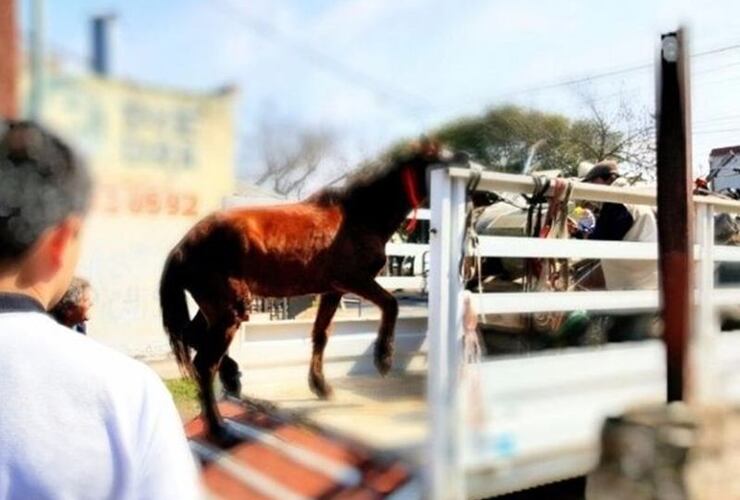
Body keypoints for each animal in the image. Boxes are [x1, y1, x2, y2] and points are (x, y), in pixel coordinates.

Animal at [159, 139, 454, 440]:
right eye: (437, 160)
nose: (463, 162)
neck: (358, 216)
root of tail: (182, 248)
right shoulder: (355, 280)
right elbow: (390, 304)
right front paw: (383, 358)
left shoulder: (333, 291)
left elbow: (320, 335)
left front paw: (320, 386)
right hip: (229, 310)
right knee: (204, 364)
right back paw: (219, 427)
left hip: (217, 310)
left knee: (193, 336)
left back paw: (232, 377)